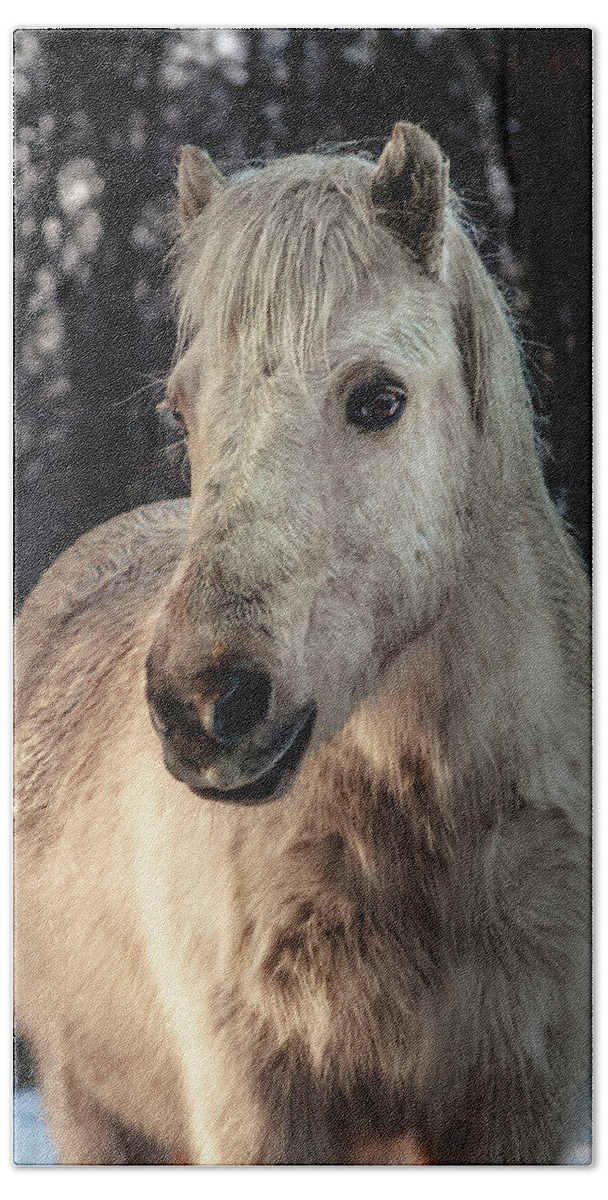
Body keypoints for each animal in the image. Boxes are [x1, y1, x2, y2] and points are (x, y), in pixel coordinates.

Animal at [13, 121, 590, 1161]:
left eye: (379, 399)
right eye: (180, 409)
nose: (203, 708)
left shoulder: (519, 1112)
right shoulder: (259, 1115)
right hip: (89, 1109)